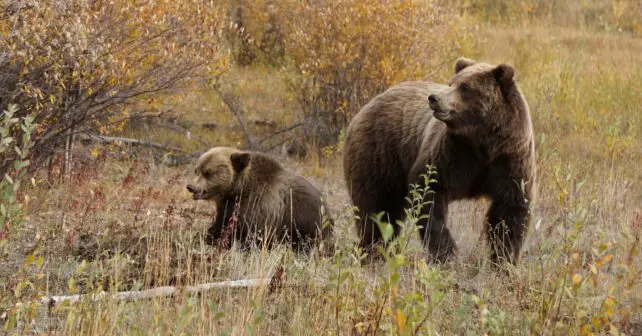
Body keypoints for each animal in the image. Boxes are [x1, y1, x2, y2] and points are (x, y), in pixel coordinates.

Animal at [185, 147, 332, 252]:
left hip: (306, 221)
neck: (238, 189)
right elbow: (221, 223)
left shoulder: (258, 205)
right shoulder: (228, 205)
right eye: (196, 170)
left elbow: (247, 233)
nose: (191, 187)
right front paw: (206, 236)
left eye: (208, 173)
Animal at [342, 58, 532, 268]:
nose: (434, 98)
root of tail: (368, 105)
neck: (481, 142)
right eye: (451, 83)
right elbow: (429, 193)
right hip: (379, 156)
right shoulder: (452, 153)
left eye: (465, 87)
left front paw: (505, 260)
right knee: (377, 208)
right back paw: (373, 251)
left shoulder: (509, 160)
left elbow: (510, 210)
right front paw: (447, 254)